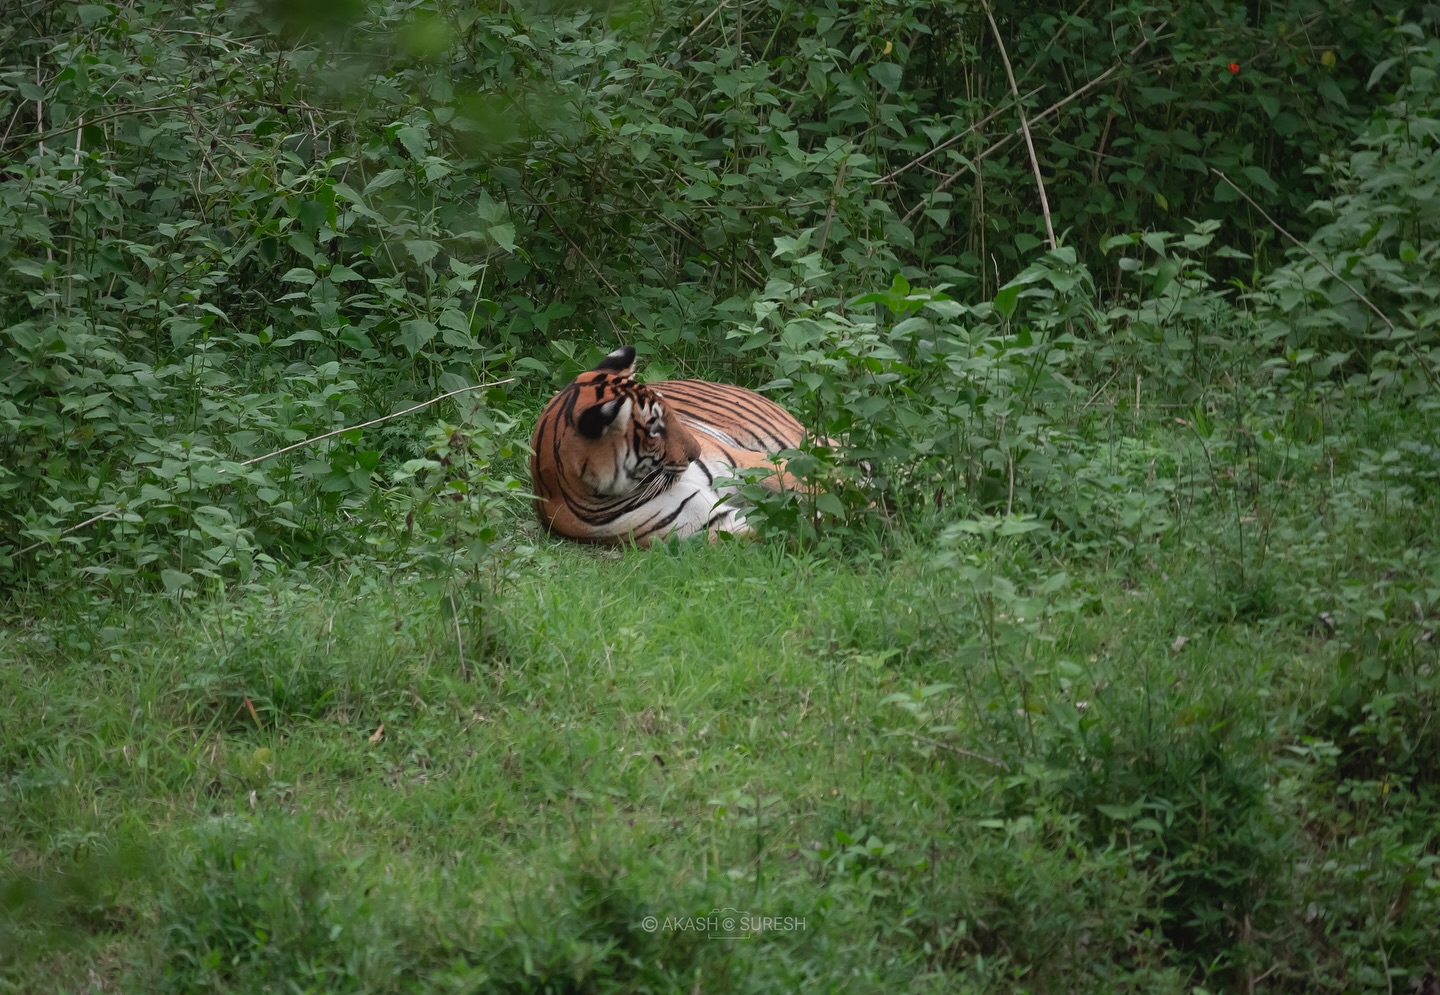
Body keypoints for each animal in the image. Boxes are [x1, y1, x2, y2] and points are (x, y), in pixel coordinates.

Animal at [528, 345, 814, 546]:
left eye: (671, 413)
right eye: (654, 429)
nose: (695, 452)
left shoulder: (746, 464)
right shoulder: (710, 523)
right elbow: (783, 529)